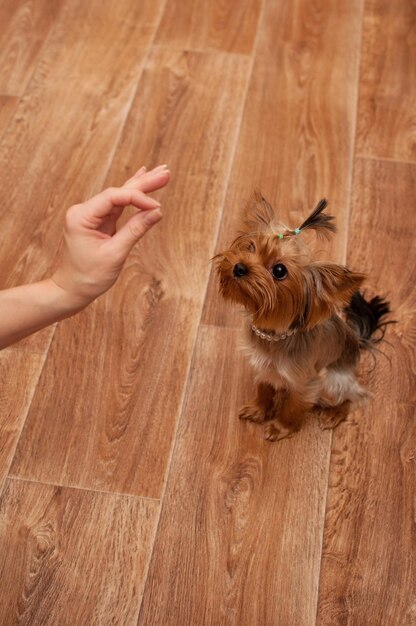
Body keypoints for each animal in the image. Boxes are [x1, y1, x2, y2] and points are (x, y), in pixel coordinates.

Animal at [214, 190, 390, 438]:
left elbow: (293, 407)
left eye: (279, 271)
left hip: (333, 382)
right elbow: (264, 388)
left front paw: (280, 427)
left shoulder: (306, 383)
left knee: (350, 397)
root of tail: (357, 340)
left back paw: (334, 414)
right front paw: (259, 409)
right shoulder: (263, 367)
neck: (273, 334)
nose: (239, 267)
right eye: (250, 247)